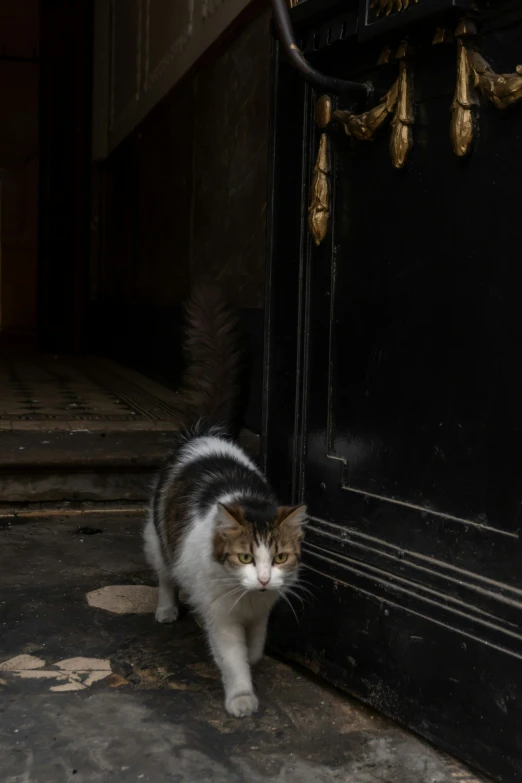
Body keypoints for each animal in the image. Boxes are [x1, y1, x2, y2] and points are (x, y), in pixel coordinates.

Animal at [142, 286, 304, 716]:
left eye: (280, 558)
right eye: (245, 557)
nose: (263, 579)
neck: (247, 600)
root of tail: (205, 433)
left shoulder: (263, 611)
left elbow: (256, 648)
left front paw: (254, 657)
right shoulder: (221, 618)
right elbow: (232, 659)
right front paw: (242, 698)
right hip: (158, 538)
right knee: (165, 576)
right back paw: (166, 608)